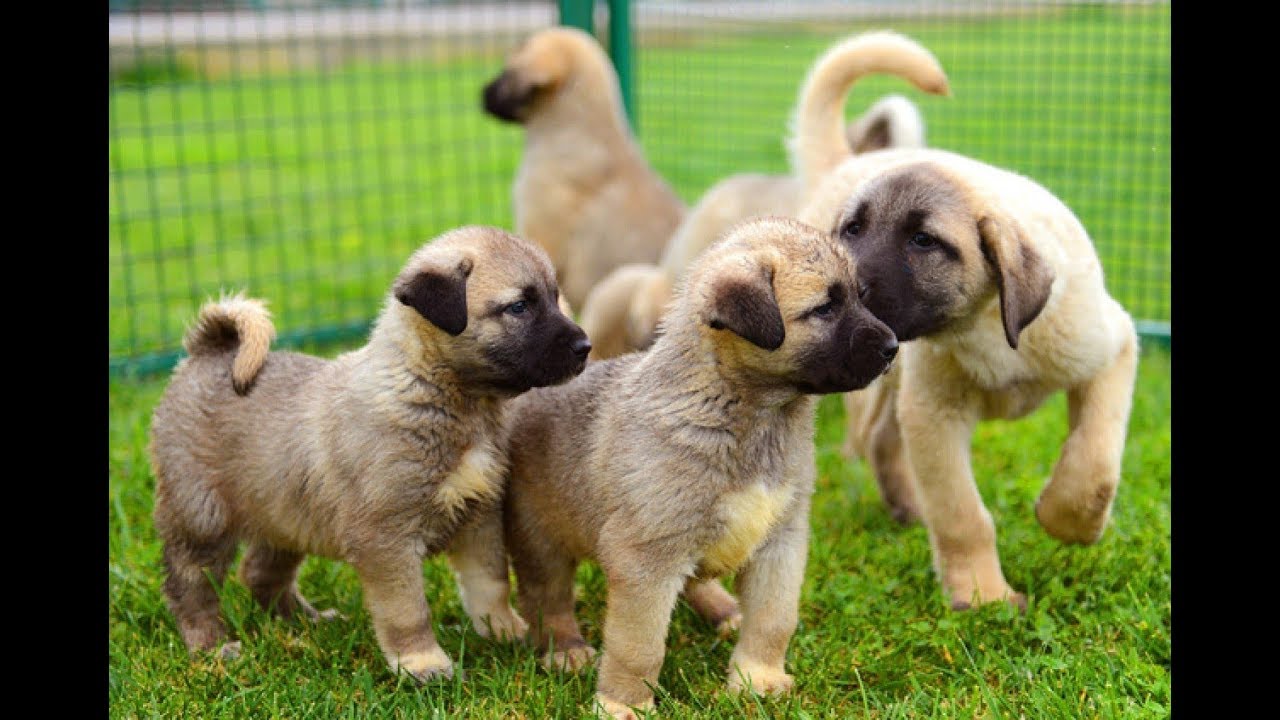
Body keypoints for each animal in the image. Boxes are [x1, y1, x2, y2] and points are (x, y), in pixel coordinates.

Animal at [149, 226, 588, 681]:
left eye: (554, 298)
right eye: (518, 306)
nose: (585, 345)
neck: (440, 392)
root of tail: (208, 352)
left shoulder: (479, 516)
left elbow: (490, 583)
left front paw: (503, 630)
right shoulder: (386, 538)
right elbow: (407, 609)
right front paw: (422, 662)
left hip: (283, 509)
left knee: (260, 572)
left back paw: (306, 622)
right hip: (202, 518)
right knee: (190, 586)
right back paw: (211, 646)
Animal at [463, 215, 901, 712]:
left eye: (860, 296)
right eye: (825, 308)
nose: (892, 347)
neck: (746, 415)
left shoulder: (780, 541)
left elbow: (773, 619)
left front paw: (758, 677)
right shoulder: (647, 557)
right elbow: (638, 645)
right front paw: (623, 704)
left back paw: (725, 611)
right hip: (542, 537)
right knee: (548, 601)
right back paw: (566, 651)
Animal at [788, 30, 1141, 607]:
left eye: (923, 240)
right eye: (852, 230)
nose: (839, 295)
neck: (986, 326)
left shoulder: (1112, 349)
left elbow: (1095, 463)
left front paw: (1067, 522)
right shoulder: (934, 412)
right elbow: (962, 514)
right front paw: (983, 596)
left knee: (882, 437)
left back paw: (908, 509)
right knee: (876, 438)